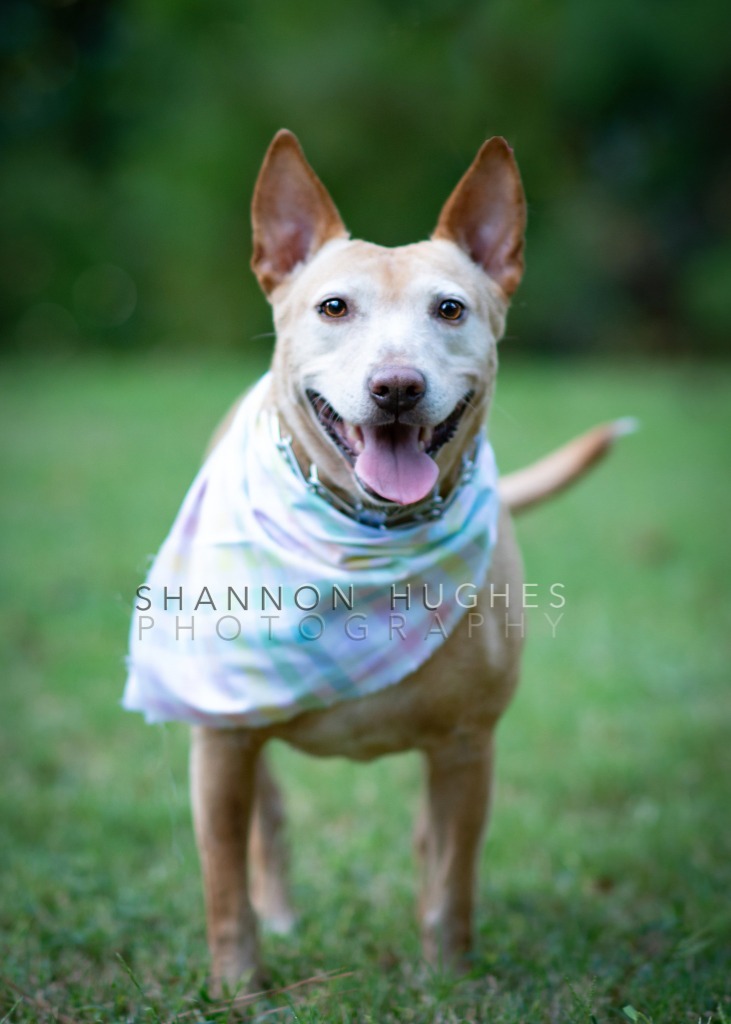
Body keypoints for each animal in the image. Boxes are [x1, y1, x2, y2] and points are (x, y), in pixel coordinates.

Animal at [122, 130, 622, 991]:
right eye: (333, 307)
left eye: (449, 309)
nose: (395, 387)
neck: (368, 539)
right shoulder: (220, 745)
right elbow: (223, 885)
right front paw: (238, 987)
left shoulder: (465, 745)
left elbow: (452, 880)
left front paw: (449, 982)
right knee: (268, 825)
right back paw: (279, 916)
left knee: (427, 840)